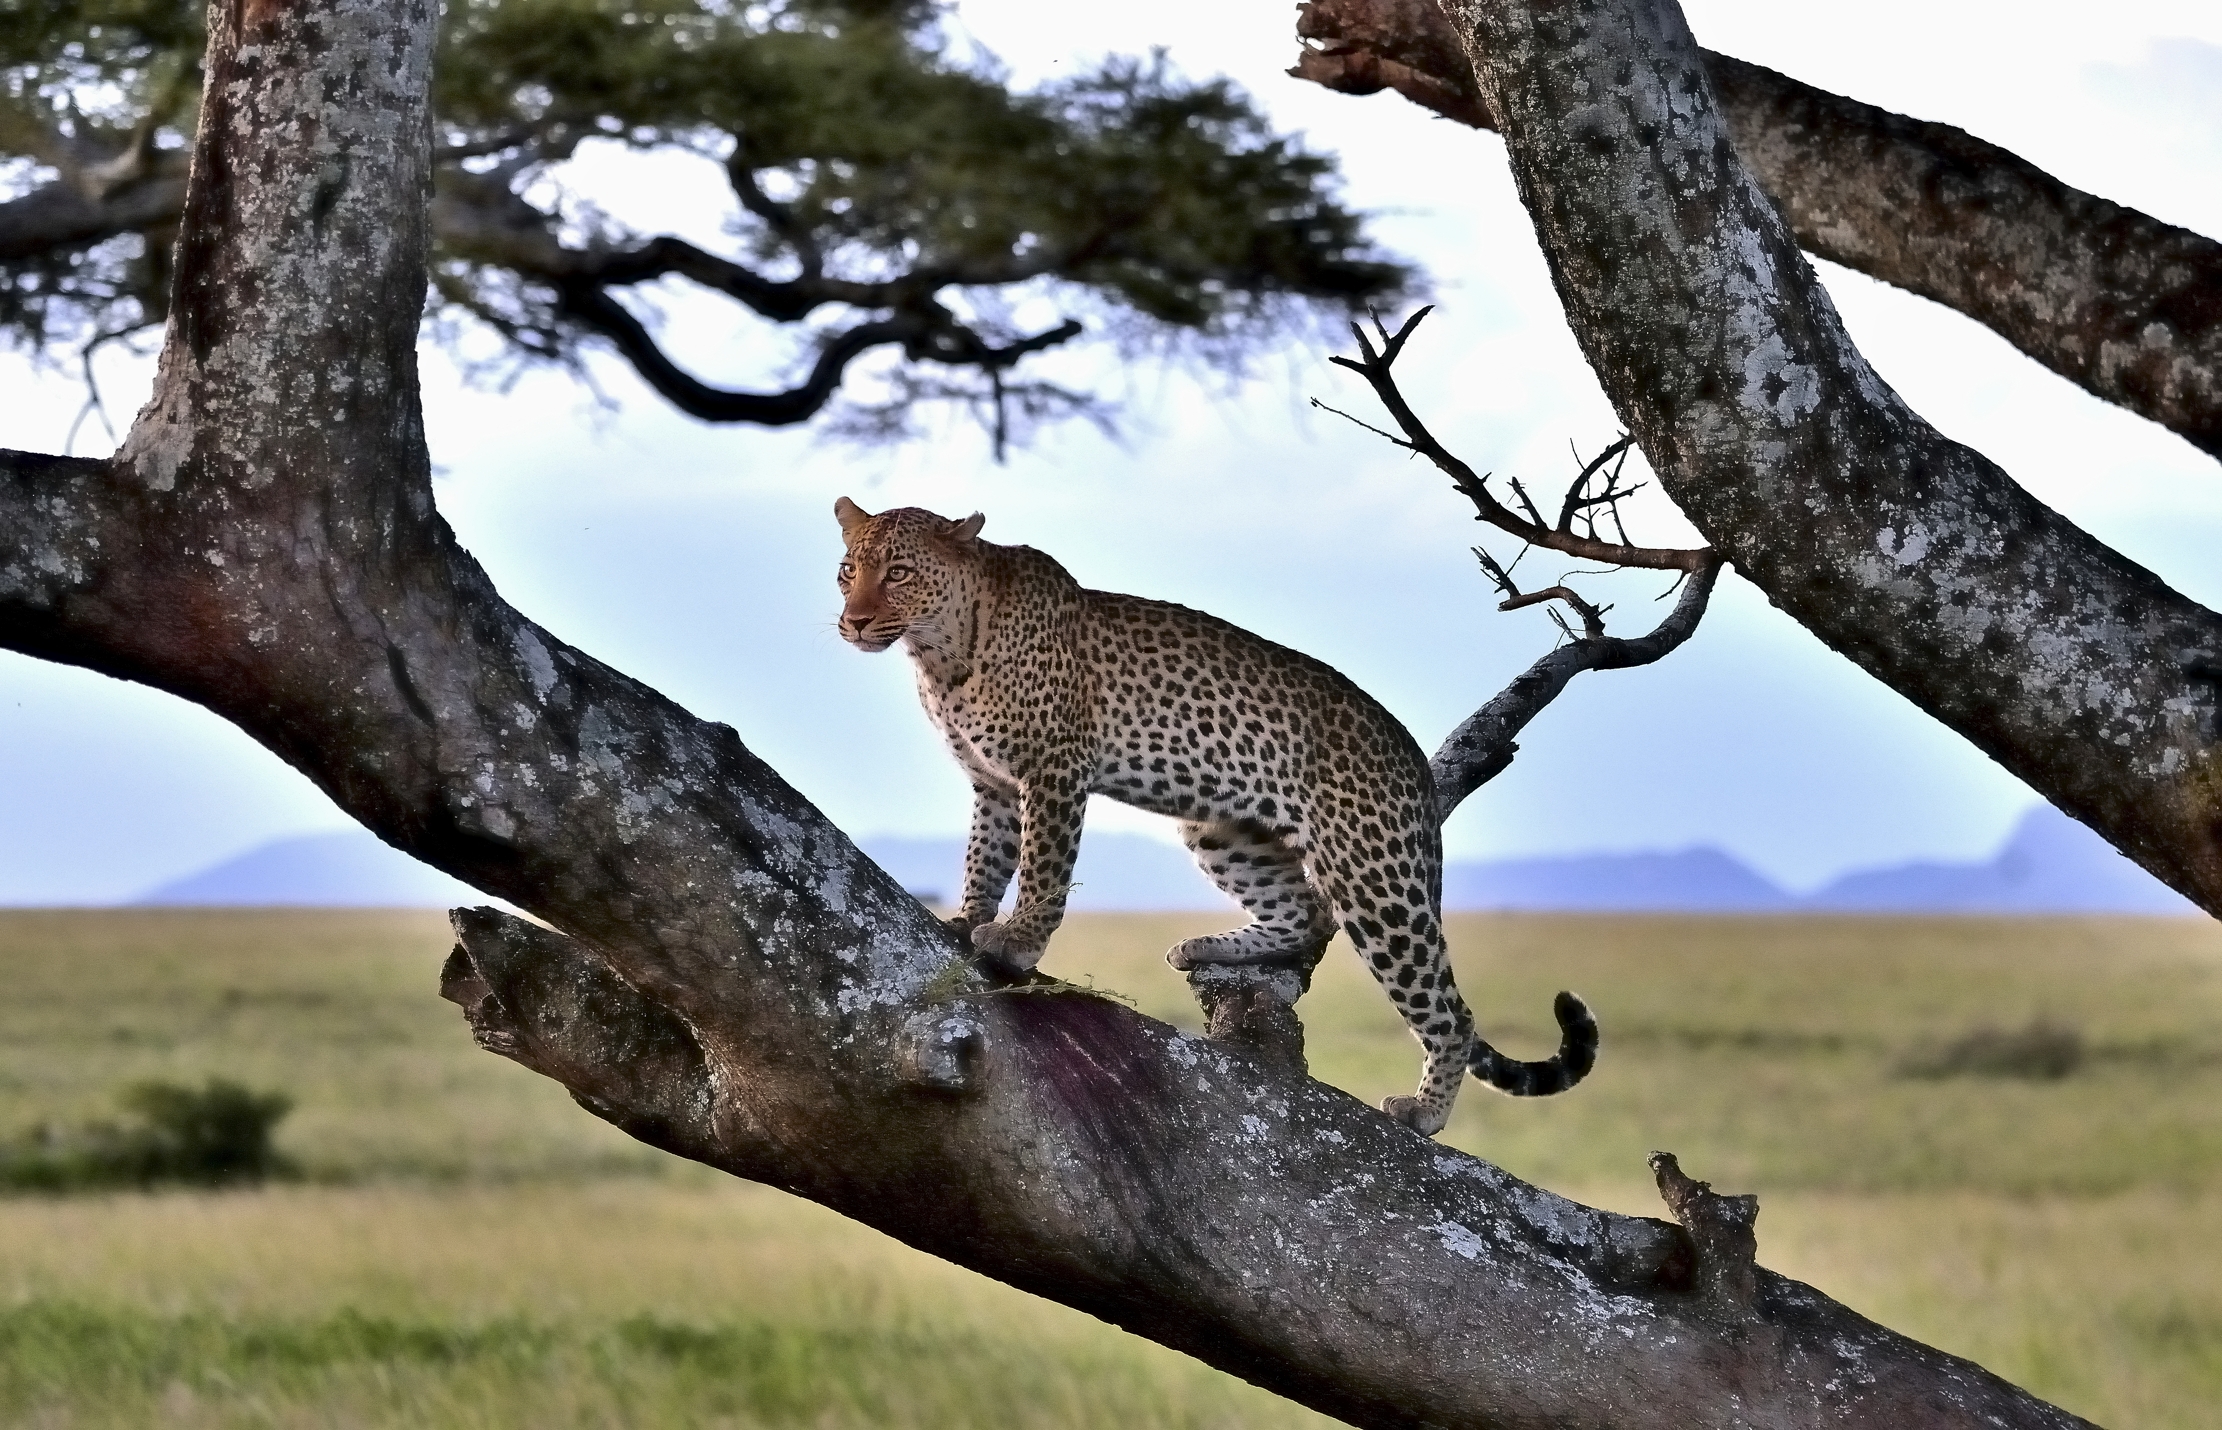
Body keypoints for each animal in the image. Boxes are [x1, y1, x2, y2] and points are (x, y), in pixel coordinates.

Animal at [834, 497, 1596, 1136]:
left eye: (898, 572)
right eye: (848, 572)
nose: (854, 620)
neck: (942, 653)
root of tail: (1407, 753)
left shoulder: (1053, 770)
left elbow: (1043, 866)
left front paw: (1018, 942)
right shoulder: (990, 782)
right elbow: (984, 858)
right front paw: (966, 918)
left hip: (1371, 871)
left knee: (1447, 1007)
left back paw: (1426, 1111)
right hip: (1221, 828)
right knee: (1303, 913)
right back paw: (1207, 946)